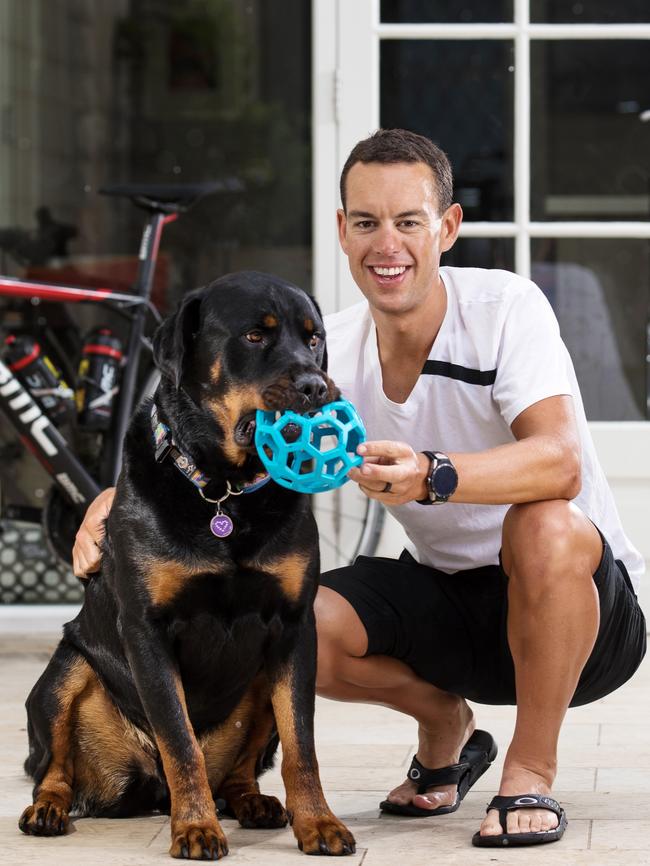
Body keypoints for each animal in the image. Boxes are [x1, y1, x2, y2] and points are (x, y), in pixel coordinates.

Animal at [19, 272, 354, 856]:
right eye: (254, 336)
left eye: (313, 339)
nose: (316, 386)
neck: (223, 491)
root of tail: (146, 788)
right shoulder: (147, 630)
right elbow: (179, 741)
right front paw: (196, 827)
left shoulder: (294, 628)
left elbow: (302, 743)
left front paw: (319, 822)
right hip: (64, 671)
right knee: (54, 768)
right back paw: (48, 809)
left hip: (258, 682)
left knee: (240, 771)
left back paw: (254, 802)